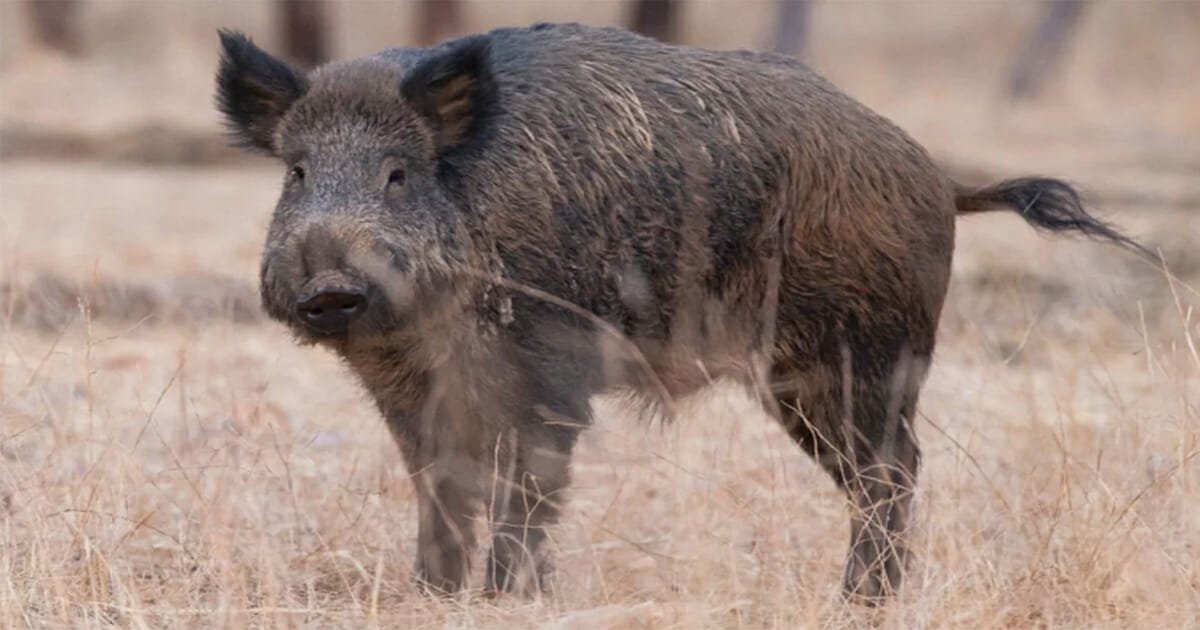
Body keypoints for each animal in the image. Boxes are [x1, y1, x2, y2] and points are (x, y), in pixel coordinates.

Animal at [214, 22, 1149, 602]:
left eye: (399, 174)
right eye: (297, 171)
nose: (329, 287)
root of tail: (942, 179)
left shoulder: (549, 371)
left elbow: (529, 486)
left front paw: (507, 596)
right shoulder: (409, 389)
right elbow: (441, 487)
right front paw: (431, 595)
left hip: (861, 356)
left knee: (894, 470)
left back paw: (859, 601)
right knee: (881, 474)